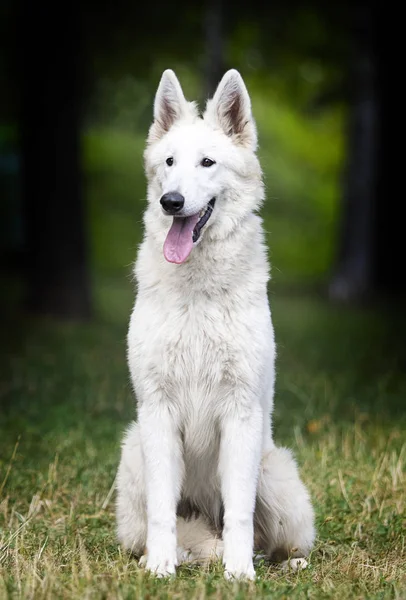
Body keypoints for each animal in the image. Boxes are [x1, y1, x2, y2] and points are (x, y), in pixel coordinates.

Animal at [116, 68, 316, 580]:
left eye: (207, 163)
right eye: (169, 162)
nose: (171, 202)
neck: (198, 296)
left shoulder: (240, 412)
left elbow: (240, 513)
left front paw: (239, 574)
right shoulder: (158, 412)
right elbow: (163, 511)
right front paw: (160, 568)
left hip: (275, 472)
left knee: (273, 541)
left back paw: (281, 563)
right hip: (134, 449)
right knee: (158, 528)